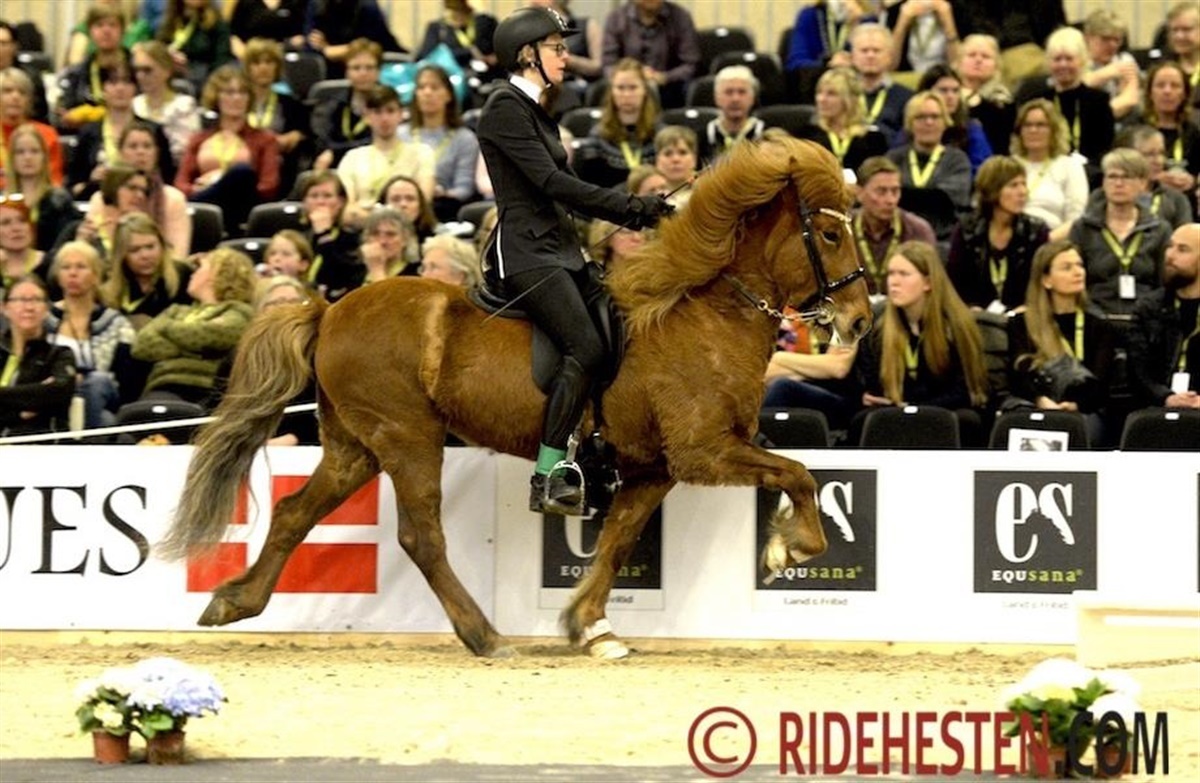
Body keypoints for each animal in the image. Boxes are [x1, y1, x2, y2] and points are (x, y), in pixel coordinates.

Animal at [160, 132, 873, 659]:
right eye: (830, 235)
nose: (862, 321)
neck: (701, 312)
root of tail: (329, 309)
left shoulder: (655, 468)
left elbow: (617, 541)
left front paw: (591, 626)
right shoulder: (705, 452)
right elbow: (799, 473)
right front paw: (789, 548)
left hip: (354, 446)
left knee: (294, 514)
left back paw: (234, 601)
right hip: (408, 437)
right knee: (420, 537)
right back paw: (483, 635)